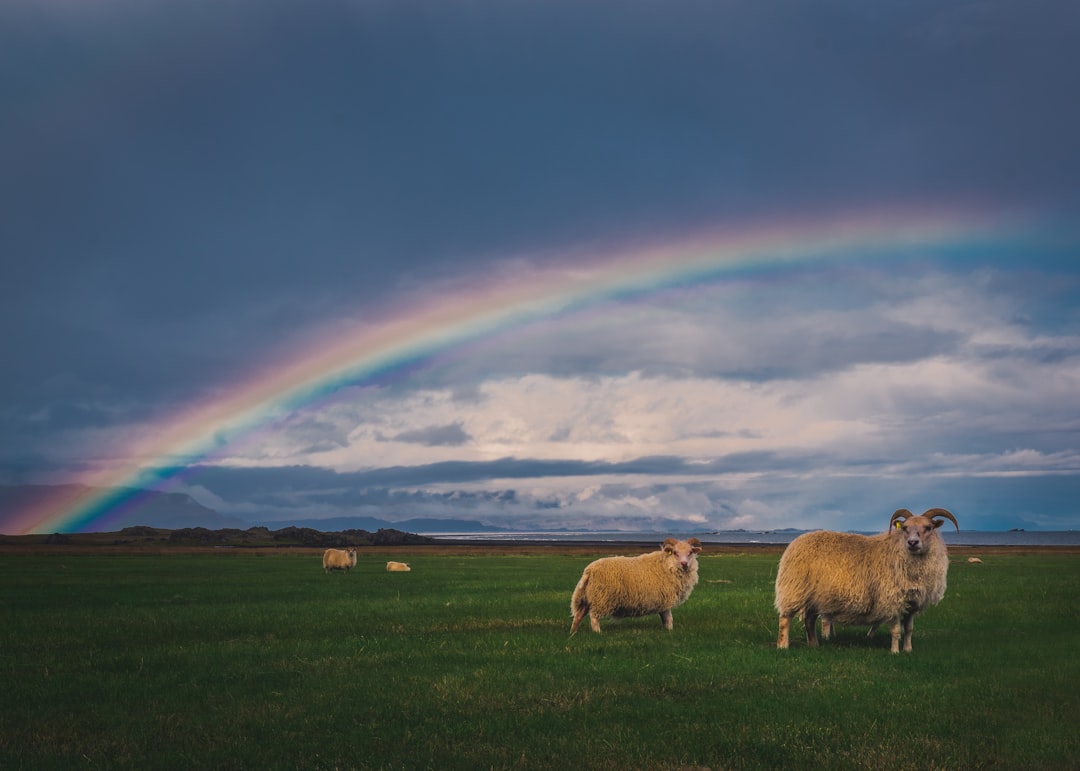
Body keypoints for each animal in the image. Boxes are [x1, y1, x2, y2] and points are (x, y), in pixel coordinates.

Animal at [570, 535, 704, 630]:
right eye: (675, 553)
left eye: (690, 552)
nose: (684, 564)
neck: (667, 565)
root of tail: (589, 570)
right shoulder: (665, 598)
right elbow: (668, 618)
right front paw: (670, 630)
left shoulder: (661, 600)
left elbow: (665, 619)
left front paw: (667, 631)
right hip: (601, 598)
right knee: (594, 618)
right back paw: (597, 633)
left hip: (587, 597)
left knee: (578, 616)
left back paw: (573, 633)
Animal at [773, 507, 959, 652]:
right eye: (905, 528)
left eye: (928, 527)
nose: (913, 543)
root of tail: (795, 542)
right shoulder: (892, 600)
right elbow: (896, 631)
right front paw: (894, 652)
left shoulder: (911, 603)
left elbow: (909, 629)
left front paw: (908, 650)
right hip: (794, 588)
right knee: (785, 619)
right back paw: (782, 646)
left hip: (815, 596)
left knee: (809, 620)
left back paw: (814, 645)